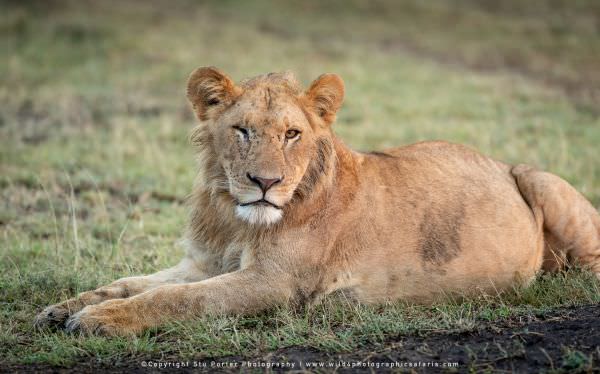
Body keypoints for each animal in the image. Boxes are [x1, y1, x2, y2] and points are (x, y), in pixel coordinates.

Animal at [34, 66, 600, 336]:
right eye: (241, 130)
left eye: (291, 134)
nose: (264, 182)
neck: (234, 218)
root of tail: (499, 161)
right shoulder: (202, 263)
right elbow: (128, 283)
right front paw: (62, 309)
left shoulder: (275, 282)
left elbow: (176, 300)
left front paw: (101, 321)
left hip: (535, 177)